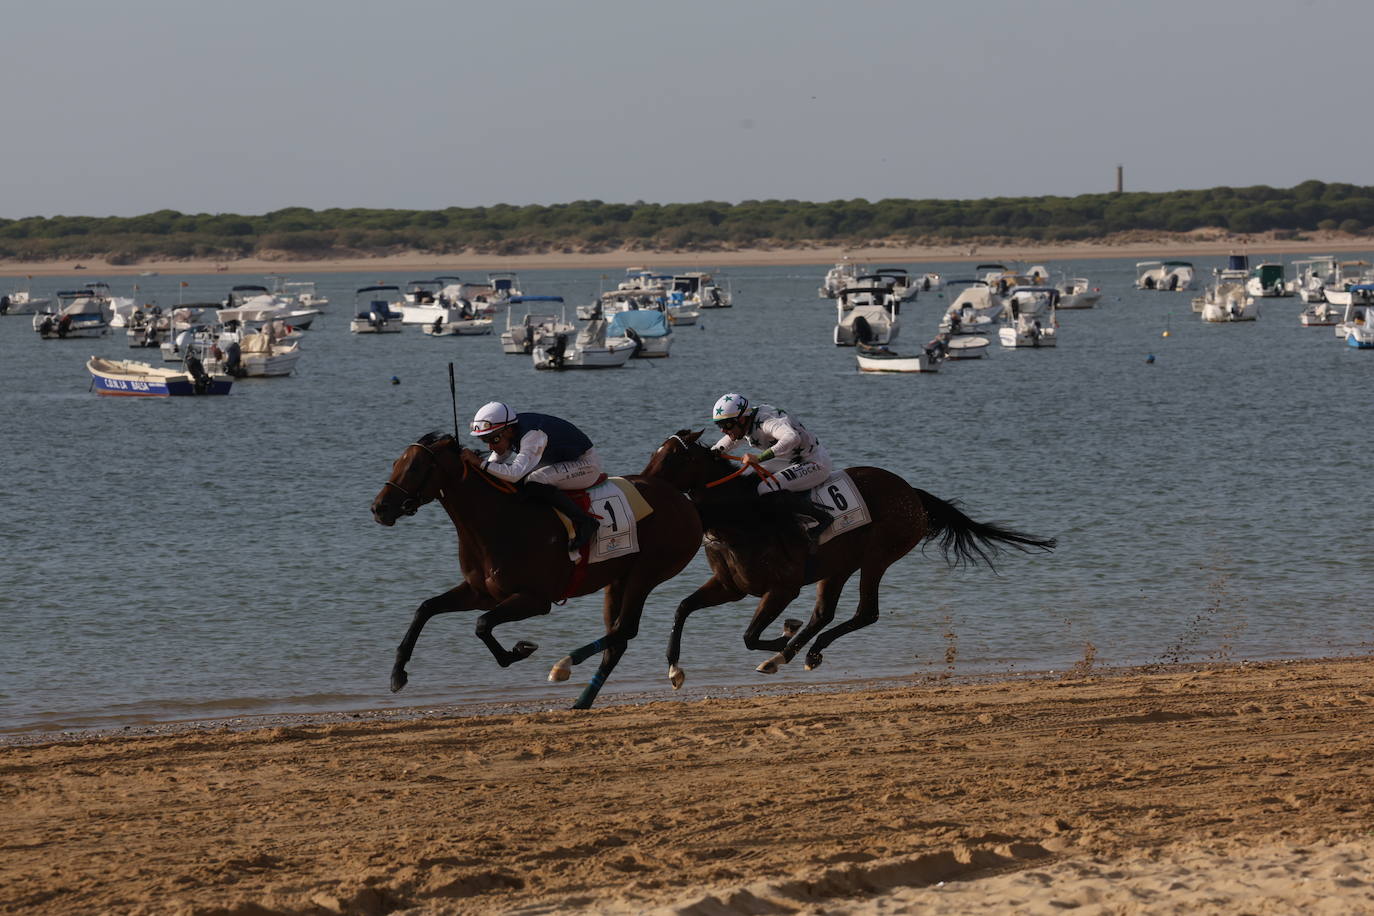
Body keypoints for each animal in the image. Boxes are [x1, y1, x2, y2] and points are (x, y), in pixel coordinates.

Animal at [371, 431, 702, 709]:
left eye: (415, 468)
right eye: (395, 463)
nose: (379, 508)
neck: (498, 519)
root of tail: (675, 493)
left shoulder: (535, 600)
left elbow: (482, 624)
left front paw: (518, 650)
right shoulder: (481, 593)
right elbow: (425, 609)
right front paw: (397, 674)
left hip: (645, 574)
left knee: (624, 629)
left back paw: (564, 665)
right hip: (617, 579)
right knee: (618, 639)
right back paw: (582, 700)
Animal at [640, 430, 1056, 688]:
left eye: (672, 456)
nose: (643, 483)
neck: (742, 518)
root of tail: (912, 492)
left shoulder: (782, 588)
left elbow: (750, 636)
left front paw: (785, 638)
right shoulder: (730, 586)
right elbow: (682, 608)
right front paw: (674, 670)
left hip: (877, 557)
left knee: (864, 613)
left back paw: (801, 652)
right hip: (837, 567)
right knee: (825, 614)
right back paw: (801, 652)